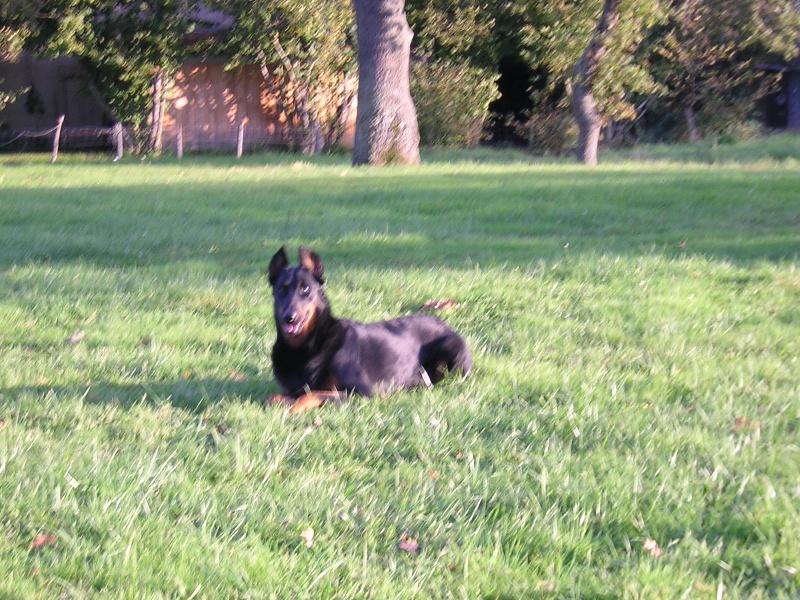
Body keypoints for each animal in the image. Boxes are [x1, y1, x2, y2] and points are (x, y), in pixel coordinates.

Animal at [266, 245, 472, 412]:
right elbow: (274, 397)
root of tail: (445, 324)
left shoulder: (362, 392)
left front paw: (293, 408)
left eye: (306, 289)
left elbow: (312, 394)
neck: (306, 348)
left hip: (450, 348)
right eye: (281, 289)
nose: (289, 318)